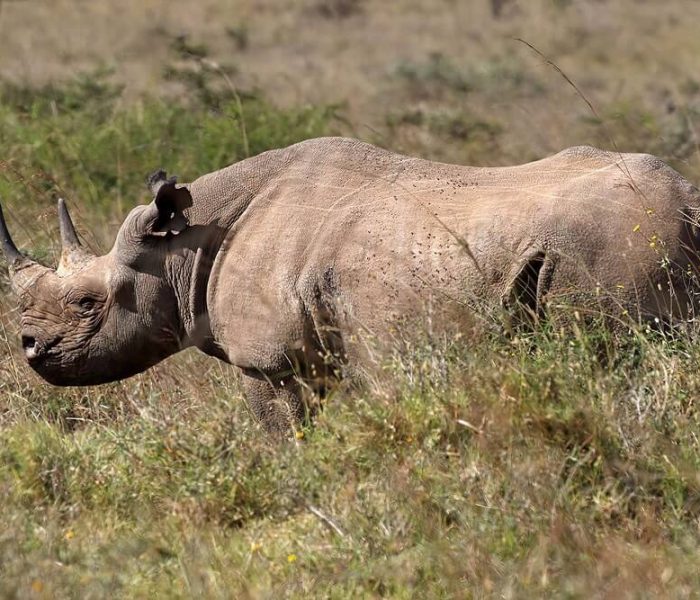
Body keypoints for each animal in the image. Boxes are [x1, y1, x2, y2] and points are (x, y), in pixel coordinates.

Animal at [2, 137, 700, 432]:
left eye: (89, 302)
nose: (30, 347)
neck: (183, 246)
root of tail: (689, 202)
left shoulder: (270, 361)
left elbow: (282, 435)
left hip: (612, 241)